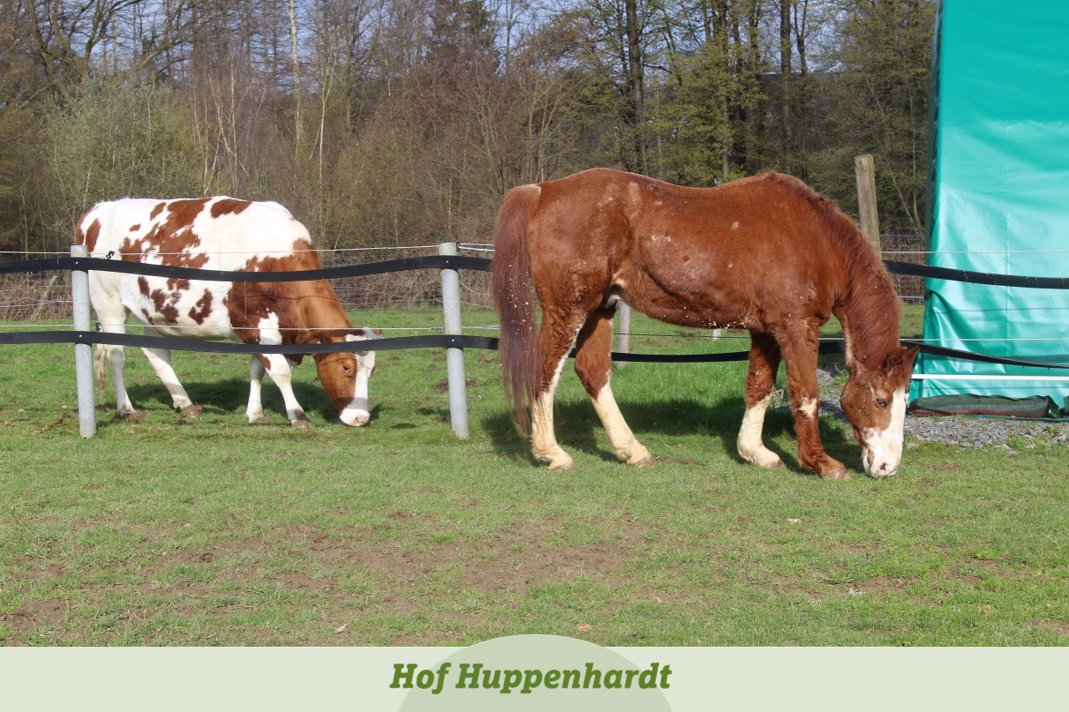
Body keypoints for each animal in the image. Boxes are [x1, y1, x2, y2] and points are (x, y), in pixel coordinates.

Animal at [75, 196, 381, 427]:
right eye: (346, 367)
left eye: (372, 370)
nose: (360, 418)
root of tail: (98, 210)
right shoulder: (254, 322)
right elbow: (280, 371)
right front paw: (297, 415)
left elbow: (258, 369)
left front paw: (255, 413)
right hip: (108, 301)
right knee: (117, 355)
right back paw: (126, 409)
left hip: (156, 309)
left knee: (156, 352)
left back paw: (185, 403)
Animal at [491, 168, 918, 479]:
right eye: (881, 400)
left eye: (905, 399)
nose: (887, 467)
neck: (815, 239)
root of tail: (543, 190)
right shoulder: (796, 328)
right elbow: (806, 394)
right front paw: (821, 463)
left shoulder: (766, 330)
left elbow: (760, 387)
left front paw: (755, 452)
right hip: (568, 310)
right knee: (545, 371)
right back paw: (552, 453)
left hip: (600, 308)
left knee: (592, 372)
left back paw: (632, 450)